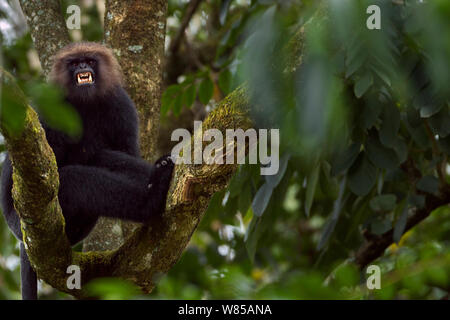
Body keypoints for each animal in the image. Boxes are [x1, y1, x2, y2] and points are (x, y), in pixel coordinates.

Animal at [0, 41, 175, 298]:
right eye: (74, 63)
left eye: (90, 61)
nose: (82, 67)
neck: (86, 103)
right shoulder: (52, 107)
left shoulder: (120, 104)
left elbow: (124, 152)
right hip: (26, 218)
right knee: (76, 179)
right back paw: (151, 199)